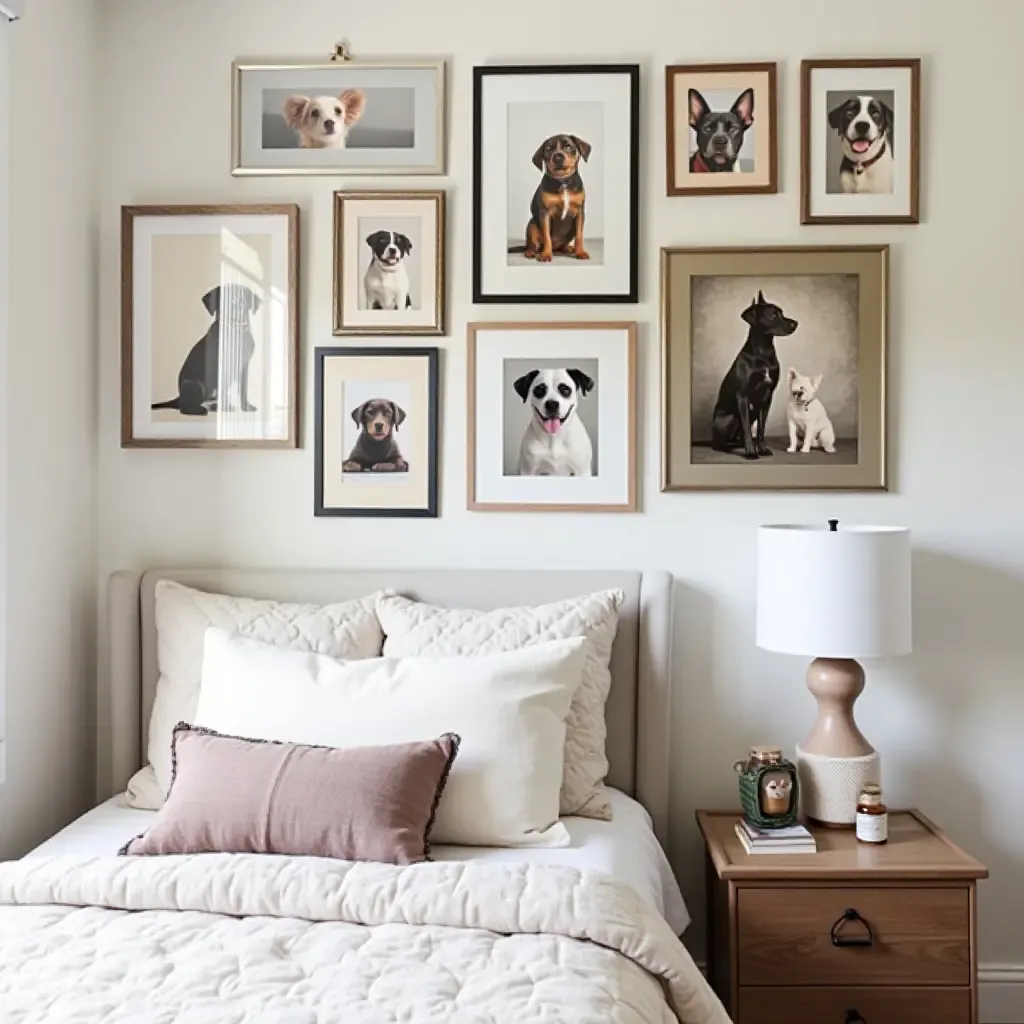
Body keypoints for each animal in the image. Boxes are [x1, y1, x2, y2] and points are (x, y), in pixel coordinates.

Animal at [520, 134, 593, 262]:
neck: (563, 181)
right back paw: (531, 252)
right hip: (532, 225)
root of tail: (556, 247)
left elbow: (579, 235)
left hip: (571, 230)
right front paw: (546, 254)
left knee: (563, 245)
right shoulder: (545, 213)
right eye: (548, 149)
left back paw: (568, 248)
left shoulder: (580, 213)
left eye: (568, 146)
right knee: (533, 244)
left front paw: (580, 252)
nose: (558, 157)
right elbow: (547, 236)